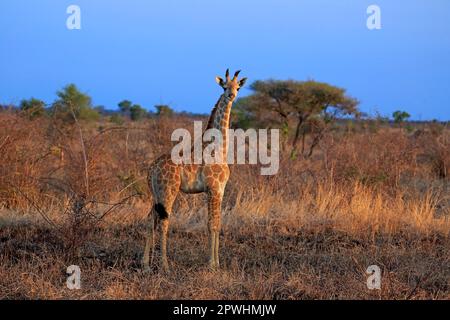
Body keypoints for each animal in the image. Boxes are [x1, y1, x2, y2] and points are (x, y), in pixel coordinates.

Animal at [142, 69, 248, 272]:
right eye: (224, 86)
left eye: (238, 87)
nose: (231, 95)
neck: (219, 149)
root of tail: (151, 169)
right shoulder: (213, 189)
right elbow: (211, 224)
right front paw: (211, 264)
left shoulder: (220, 190)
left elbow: (218, 223)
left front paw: (218, 263)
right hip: (168, 191)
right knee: (163, 222)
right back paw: (165, 265)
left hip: (155, 194)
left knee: (150, 220)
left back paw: (145, 264)